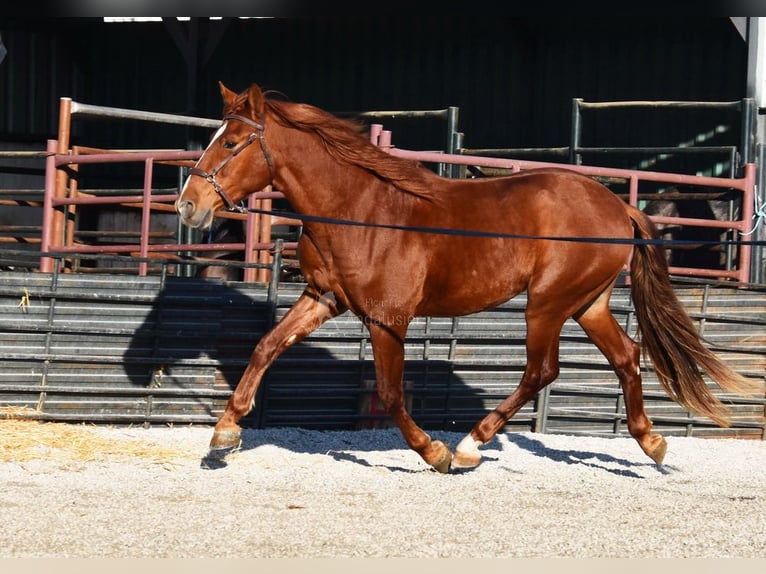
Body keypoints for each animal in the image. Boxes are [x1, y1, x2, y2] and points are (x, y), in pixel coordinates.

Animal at [177, 83, 760, 474]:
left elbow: (390, 393)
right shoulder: (322, 298)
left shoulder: (387, 319)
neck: (361, 210)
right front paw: (223, 435)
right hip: (586, 303)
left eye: (231, 144)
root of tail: (619, 206)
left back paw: (469, 446)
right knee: (625, 358)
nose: (188, 206)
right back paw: (652, 444)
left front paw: (435, 453)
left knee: (541, 371)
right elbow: (265, 347)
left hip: (547, 303)